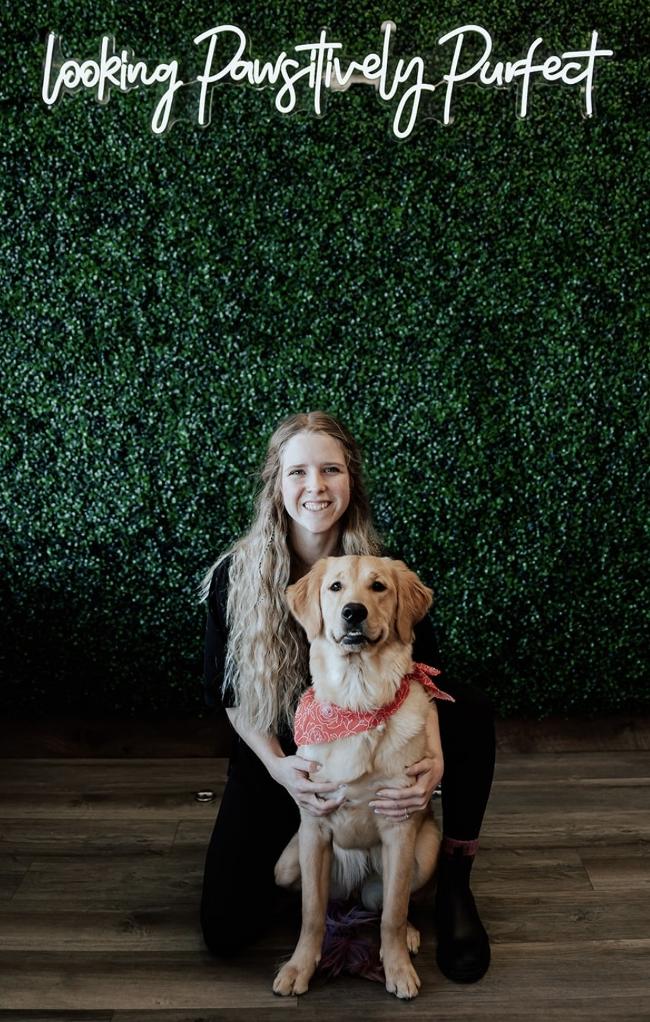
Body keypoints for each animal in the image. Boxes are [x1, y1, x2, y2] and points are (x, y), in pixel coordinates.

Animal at [271, 551, 449, 997]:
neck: (358, 699)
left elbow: (393, 914)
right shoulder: (314, 826)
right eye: (335, 587)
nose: (354, 612)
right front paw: (299, 966)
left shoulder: (398, 827)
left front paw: (398, 968)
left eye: (378, 586)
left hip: (424, 853)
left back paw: (409, 936)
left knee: (393, 905)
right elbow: (312, 913)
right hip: (288, 865)